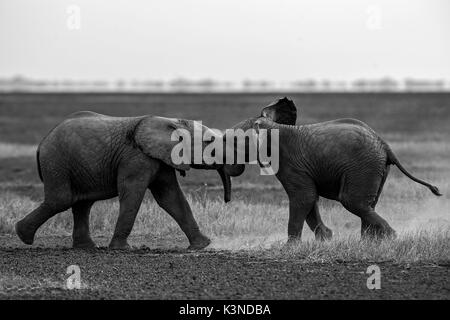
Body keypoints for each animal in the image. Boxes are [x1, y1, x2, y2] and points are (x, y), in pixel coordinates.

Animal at [15, 110, 234, 250]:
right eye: (209, 142)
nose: (227, 200)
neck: (173, 121)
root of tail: (42, 142)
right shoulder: (136, 158)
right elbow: (133, 194)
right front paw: (122, 249)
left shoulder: (159, 158)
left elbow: (170, 197)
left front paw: (203, 246)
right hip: (56, 162)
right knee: (61, 200)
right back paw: (22, 236)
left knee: (82, 204)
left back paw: (86, 248)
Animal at [223, 97, 442, 242]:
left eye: (231, 140)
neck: (271, 127)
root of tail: (385, 145)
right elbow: (310, 198)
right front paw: (325, 240)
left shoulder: (289, 163)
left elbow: (303, 197)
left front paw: (289, 248)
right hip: (376, 168)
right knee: (368, 203)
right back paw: (369, 243)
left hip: (363, 166)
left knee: (353, 201)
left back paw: (390, 238)